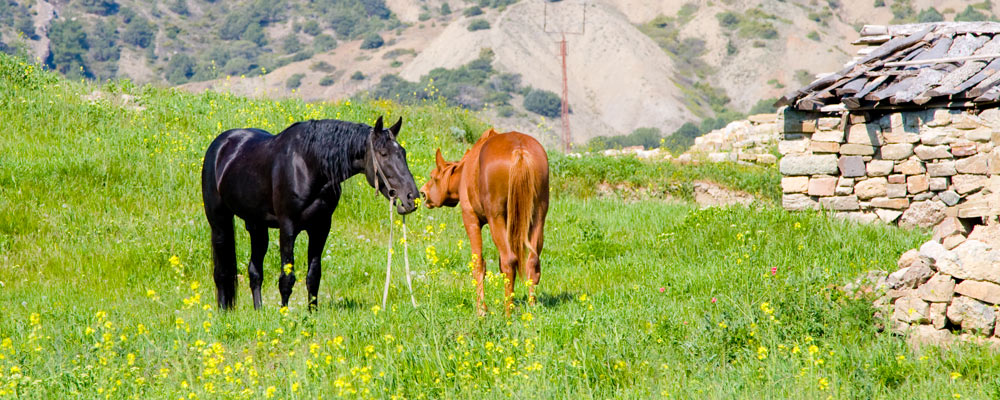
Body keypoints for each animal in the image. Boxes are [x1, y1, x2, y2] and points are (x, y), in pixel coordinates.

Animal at [201, 115, 420, 310]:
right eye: (383, 154)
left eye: (403, 152)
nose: (412, 198)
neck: (309, 165)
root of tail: (221, 145)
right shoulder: (287, 228)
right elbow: (287, 278)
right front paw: (284, 314)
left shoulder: (320, 227)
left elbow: (313, 276)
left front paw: (312, 313)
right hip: (219, 223)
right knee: (221, 272)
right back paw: (223, 311)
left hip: (257, 226)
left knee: (254, 271)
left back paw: (259, 311)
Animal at [418, 129, 552, 316]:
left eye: (433, 176)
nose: (423, 192)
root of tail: (519, 151)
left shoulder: (471, 219)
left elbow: (479, 265)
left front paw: (481, 309)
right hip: (538, 216)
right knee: (532, 261)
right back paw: (531, 308)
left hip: (496, 218)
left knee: (509, 260)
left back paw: (507, 312)